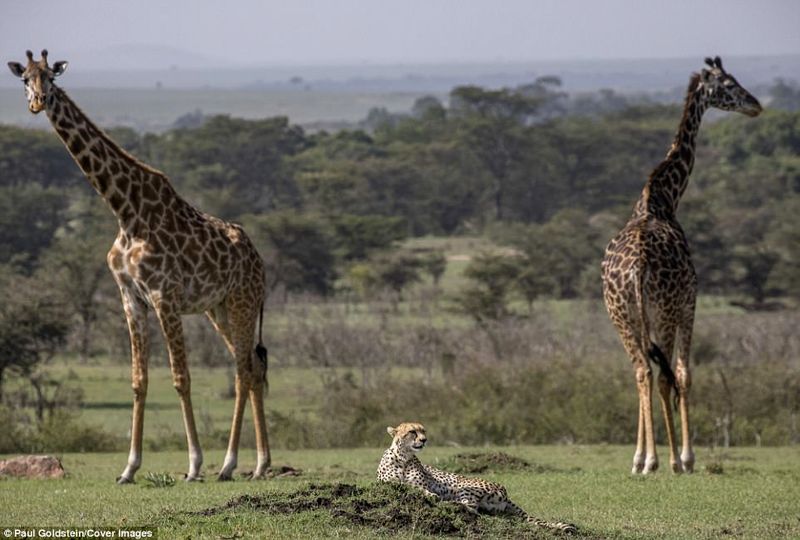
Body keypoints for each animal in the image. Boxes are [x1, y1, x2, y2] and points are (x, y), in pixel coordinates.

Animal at [7, 49, 274, 480]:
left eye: (51, 77)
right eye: (24, 79)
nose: (38, 103)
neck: (126, 212)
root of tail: (259, 259)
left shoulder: (164, 296)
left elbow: (181, 378)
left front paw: (194, 464)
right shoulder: (131, 298)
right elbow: (139, 380)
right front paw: (129, 468)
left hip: (242, 301)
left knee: (242, 370)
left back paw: (231, 463)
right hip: (218, 308)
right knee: (252, 366)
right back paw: (260, 463)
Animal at [378, 422, 580, 536]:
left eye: (424, 431)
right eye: (413, 432)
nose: (424, 440)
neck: (403, 457)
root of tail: (505, 492)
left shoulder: (424, 484)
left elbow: (420, 488)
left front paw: (432, 496)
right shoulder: (386, 483)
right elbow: (404, 485)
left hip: (464, 487)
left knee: (471, 509)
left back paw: (450, 503)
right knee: (474, 510)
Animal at [600, 57, 764, 474]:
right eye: (729, 84)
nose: (756, 105)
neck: (663, 199)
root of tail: (636, 269)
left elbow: (654, 374)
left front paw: (642, 458)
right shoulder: (690, 304)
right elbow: (683, 374)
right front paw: (685, 458)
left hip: (622, 315)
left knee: (640, 370)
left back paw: (644, 459)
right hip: (663, 311)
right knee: (660, 374)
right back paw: (665, 459)